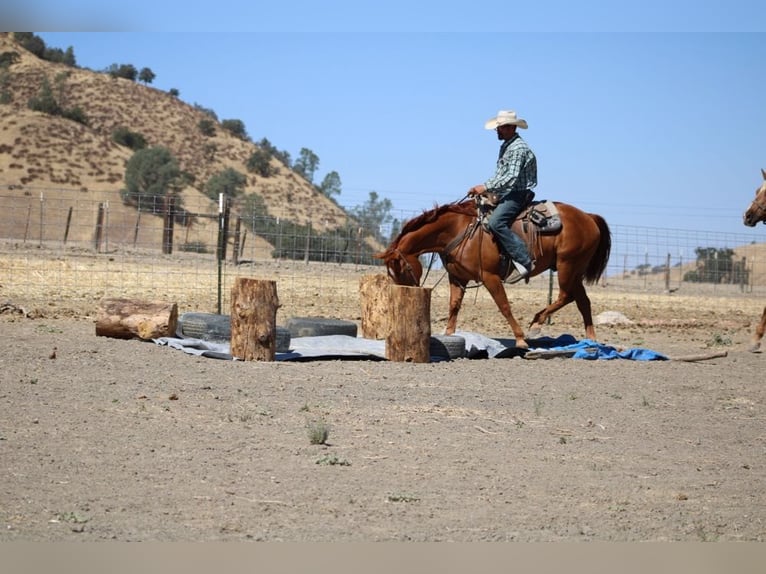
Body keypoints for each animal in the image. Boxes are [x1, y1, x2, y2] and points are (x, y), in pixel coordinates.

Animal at [376, 196, 611, 349]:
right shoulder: (458, 277)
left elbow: (504, 305)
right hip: (574, 269)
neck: (457, 229)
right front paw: (448, 334)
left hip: (567, 265)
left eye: (401, 270)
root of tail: (588, 217)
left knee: (566, 295)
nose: (405, 293)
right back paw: (591, 339)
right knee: (582, 301)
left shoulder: (490, 276)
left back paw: (537, 324)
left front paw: (520, 339)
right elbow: (454, 306)